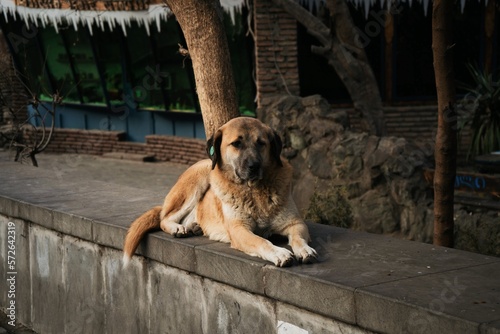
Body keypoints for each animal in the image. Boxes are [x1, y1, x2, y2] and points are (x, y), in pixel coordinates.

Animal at [122, 116, 316, 268]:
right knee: (165, 218)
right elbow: (262, 241)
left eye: (261, 143)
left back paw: (193, 226)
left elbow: (298, 238)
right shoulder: (239, 229)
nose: (254, 166)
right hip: (200, 176)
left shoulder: (295, 223)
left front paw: (305, 249)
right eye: (236, 144)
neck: (253, 191)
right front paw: (279, 253)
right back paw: (178, 228)